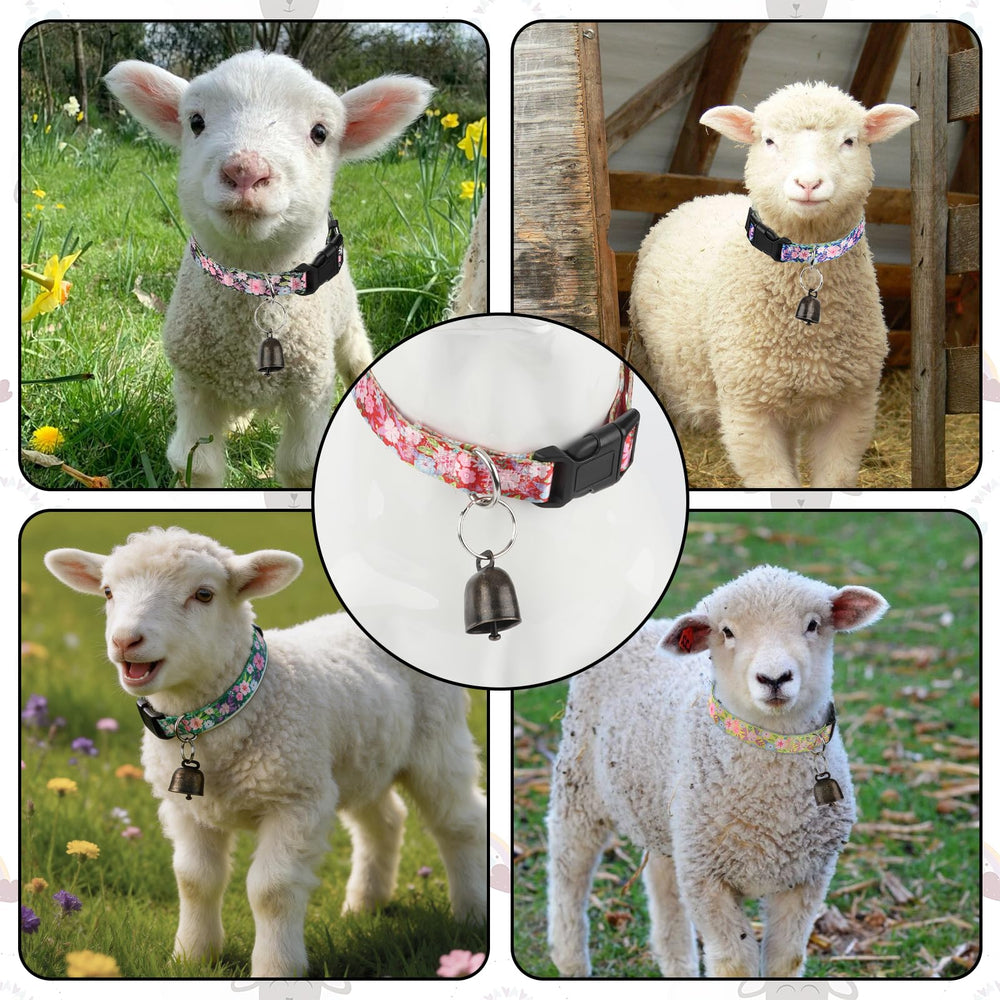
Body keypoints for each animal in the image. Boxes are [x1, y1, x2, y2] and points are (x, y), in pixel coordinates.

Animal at [44, 526, 487, 978]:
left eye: (204, 594)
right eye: (108, 592)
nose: (125, 640)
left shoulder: (296, 800)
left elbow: (271, 890)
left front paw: (277, 969)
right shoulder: (186, 809)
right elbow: (194, 880)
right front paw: (191, 956)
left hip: (438, 743)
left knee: (460, 823)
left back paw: (471, 914)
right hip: (360, 759)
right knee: (384, 822)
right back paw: (365, 904)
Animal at [104, 52, 432, 487]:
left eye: (320, 133)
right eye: (196, 121)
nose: (245, 170)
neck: (255, 282)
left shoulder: (310, 387)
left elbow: (301, 465)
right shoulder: (193, 384)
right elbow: (196, 463)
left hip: (346, 323)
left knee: (357, 356)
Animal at [547, 565, 888, 978]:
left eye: (813, 625)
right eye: (726, 632)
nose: (775, 678)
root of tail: (648, 625)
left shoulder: (807, 876)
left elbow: (785, 959)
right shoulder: (706, 878)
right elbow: (734, 963)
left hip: (669, 817)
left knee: (663, 887)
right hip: (579, 780)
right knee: (569, 867)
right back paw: (570, 959)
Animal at [628, 82, 917, 488]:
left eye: (850, 141)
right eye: (768, 140)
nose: (809, 183)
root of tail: (704, 196)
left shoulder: (852, 407)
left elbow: (834, 481)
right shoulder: (749, 409)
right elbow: (775, 483)